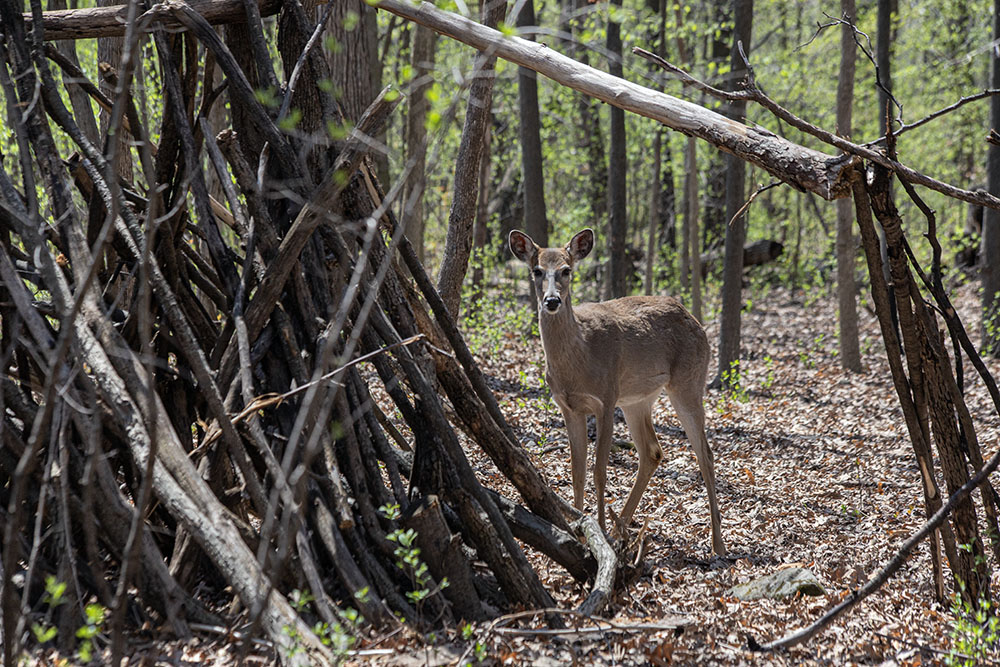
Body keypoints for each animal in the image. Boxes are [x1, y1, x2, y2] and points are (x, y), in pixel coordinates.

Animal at [512, 227, 724, 556]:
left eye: (566, 270)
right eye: (536, 270)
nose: (552, 300)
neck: (579, 358)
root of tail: (696, 321)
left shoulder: (606, 398)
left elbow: (599, 471)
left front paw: (597, 529)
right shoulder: (569, 407)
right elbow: (576, 472)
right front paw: (580, 527)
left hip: (688, 382)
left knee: (706, 454)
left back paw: (717, 544)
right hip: (638, 399)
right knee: (653, 451)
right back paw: (620, 527)